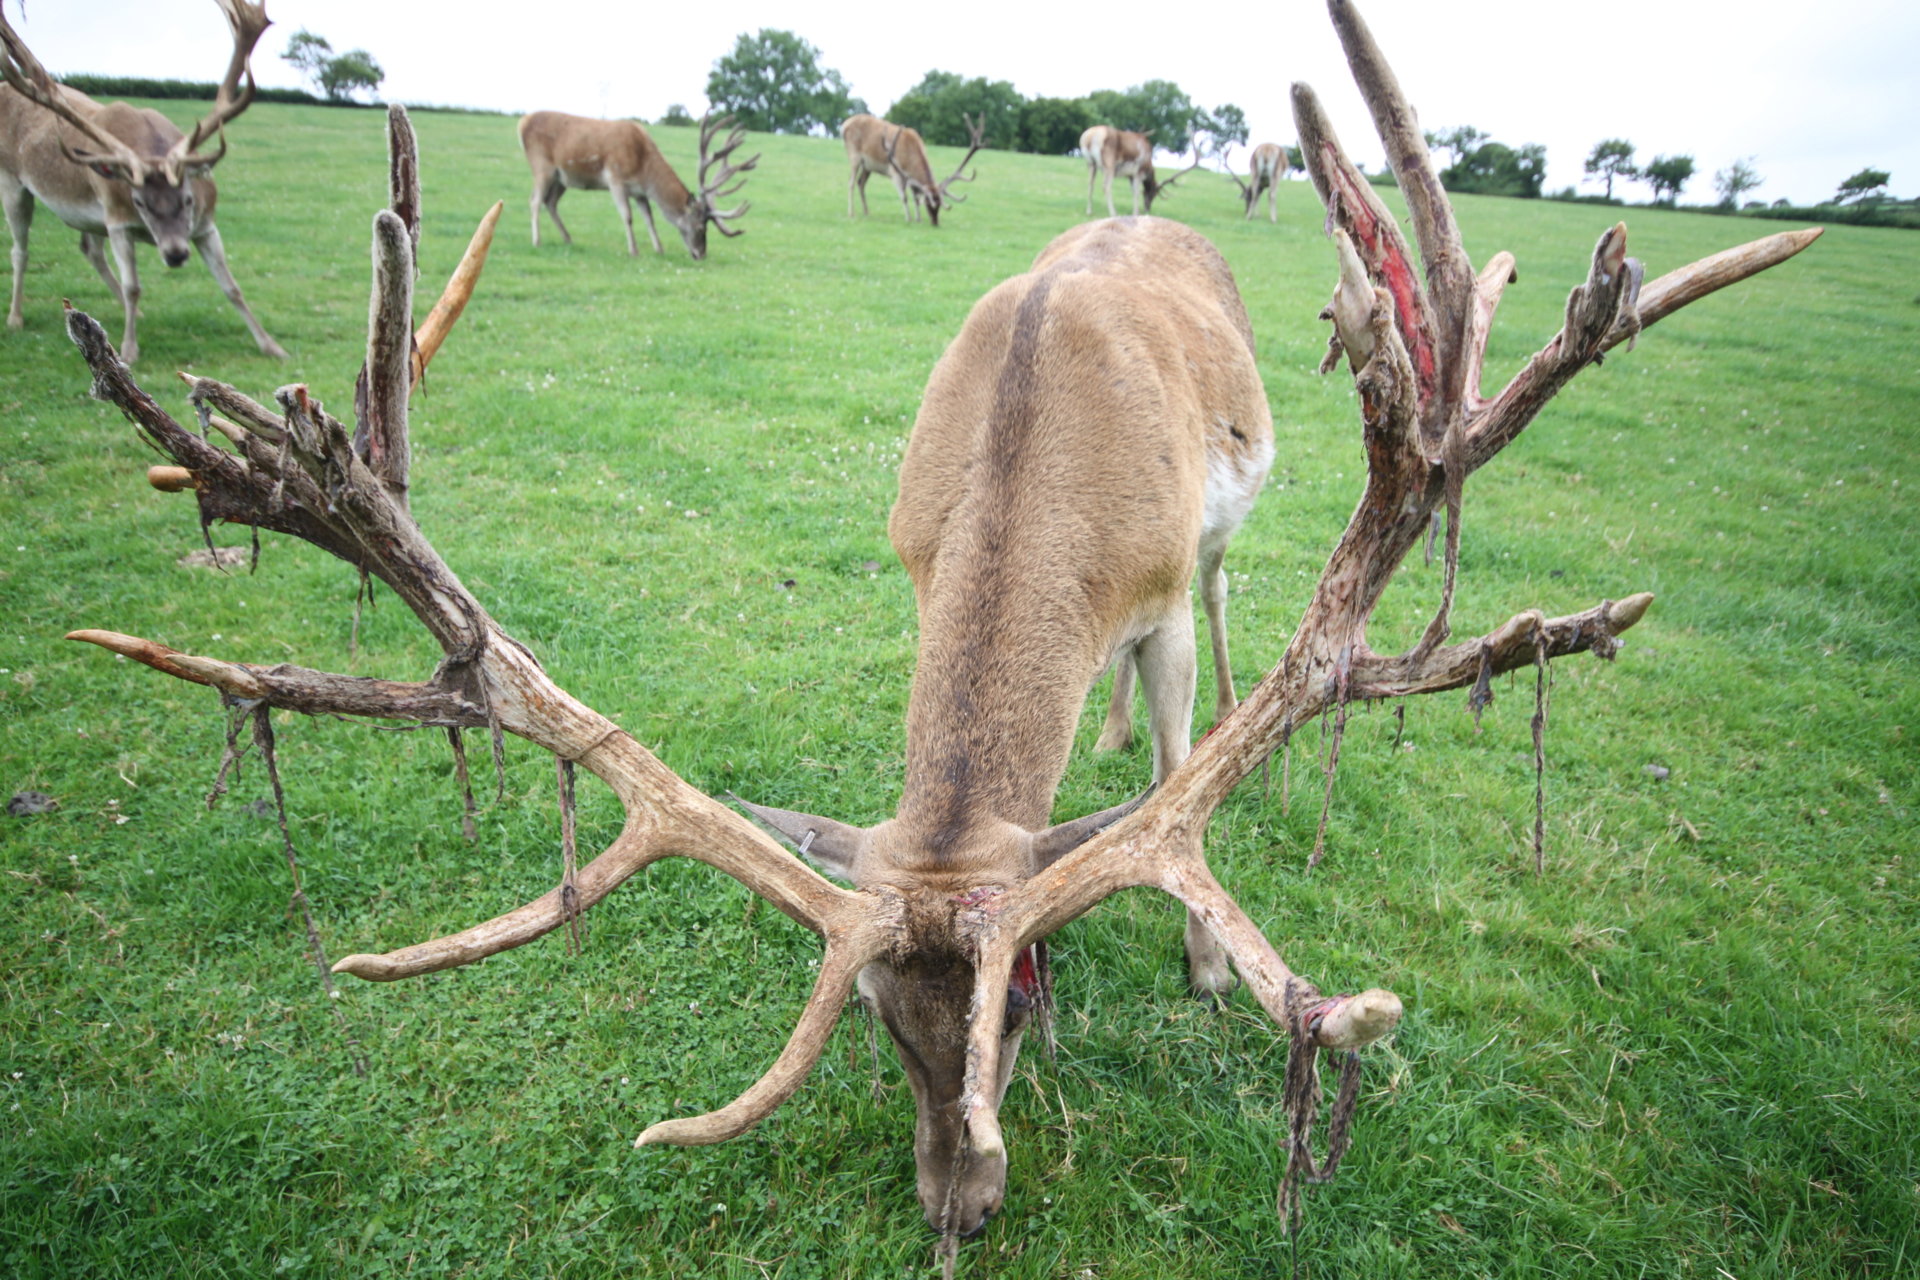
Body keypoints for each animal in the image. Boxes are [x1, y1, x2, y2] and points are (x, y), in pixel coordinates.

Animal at [0, 0, 285, 364]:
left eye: (188, 198)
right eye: (139, 202)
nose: (176, 254)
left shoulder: (205, 225)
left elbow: (231, 286)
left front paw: (272, 346)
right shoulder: (118, 221)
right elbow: (133, 286)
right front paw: (129, 349)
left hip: (90, 218)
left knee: (89, 250)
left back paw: (132, 313)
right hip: (12, 181)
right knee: (20, 250)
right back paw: (15, 317)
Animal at [518, 110, 756, 260]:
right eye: (700, 227)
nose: (701, 254)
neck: (643, 165)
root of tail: (522, 123)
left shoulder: (640, 191)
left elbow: (649, 217)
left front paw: (659, 249)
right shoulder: (615, 178)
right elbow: (628, 216)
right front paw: (634, 251)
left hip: (562, 177)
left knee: (550, 202)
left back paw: (568, 239)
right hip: (542, 166)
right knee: (534, 200)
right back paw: (537, 241)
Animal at [841, 111, 983, 228]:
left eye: (939, 205)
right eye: (928, 204)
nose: (935, 222)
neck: (910, 155)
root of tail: (844, 125)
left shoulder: (911, 178)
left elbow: (915, 197)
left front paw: (918, 219)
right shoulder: (895, 171)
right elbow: (904, 196)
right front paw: (909, 218)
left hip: (867, 166)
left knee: (861, 183)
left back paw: (866, 212)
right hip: (854, 156)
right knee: (851, 183)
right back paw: (851, 213)